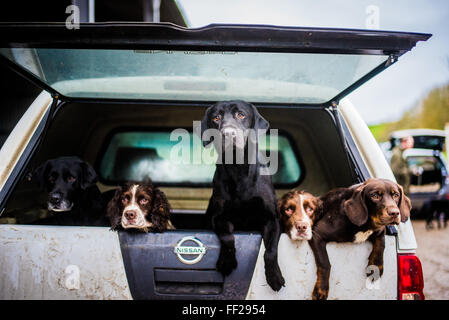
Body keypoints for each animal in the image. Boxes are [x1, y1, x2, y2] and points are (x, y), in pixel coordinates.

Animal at [200, 100, 284, 292]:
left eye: (241, 115)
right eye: (216, 118)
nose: (228, 133)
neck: (238, 169)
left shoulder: (272, 219)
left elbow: (271, 251)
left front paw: (275, 276)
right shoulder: (219, 217)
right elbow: (227, 237)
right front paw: (226, 262)